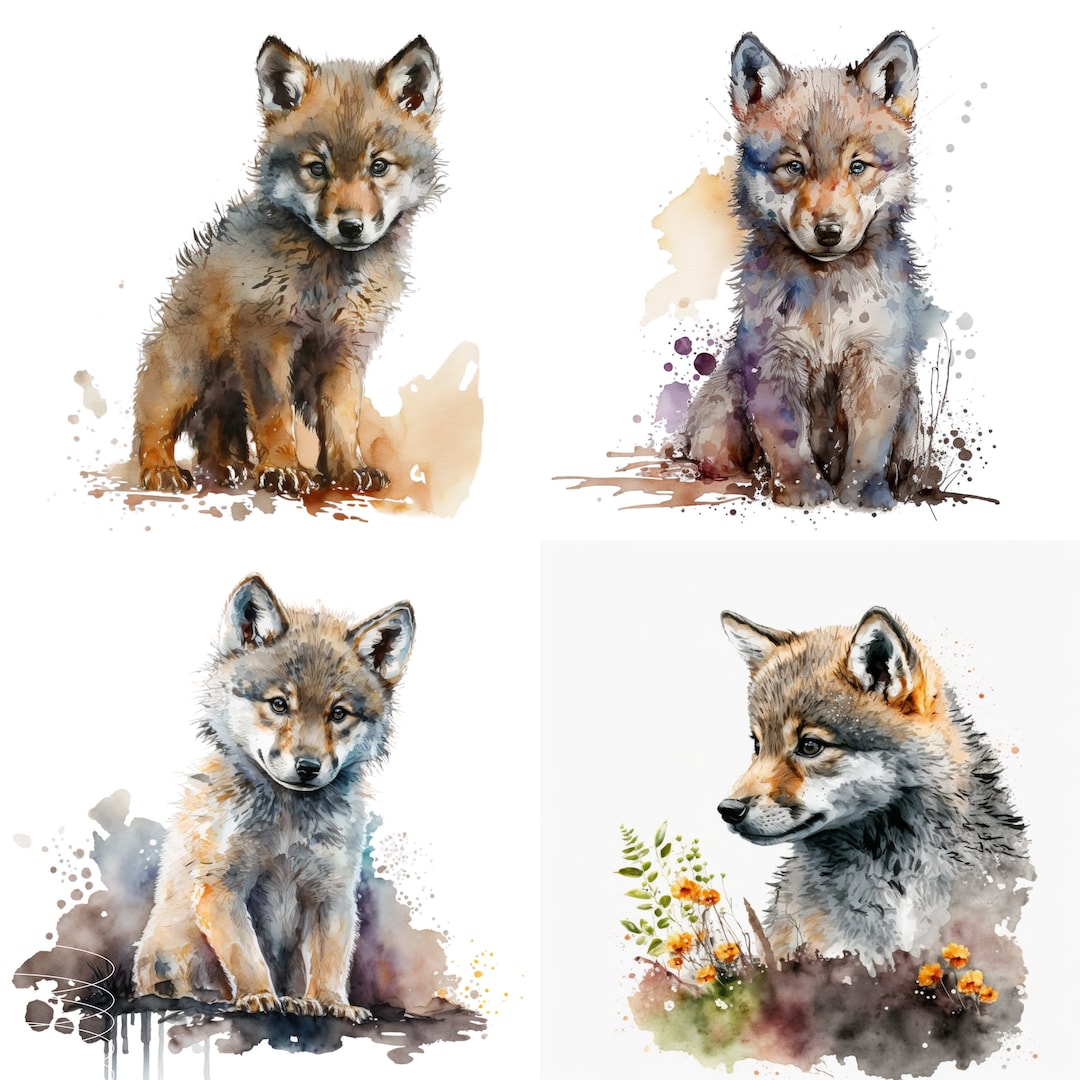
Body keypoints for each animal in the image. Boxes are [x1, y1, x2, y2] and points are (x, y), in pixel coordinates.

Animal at [133, 575, 415, 1021]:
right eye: (279, 704)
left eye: (338, 713)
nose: (308, 767)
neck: (288, 824)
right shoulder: (221, 889)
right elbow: (247, 956)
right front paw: (258, 996)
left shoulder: (332, 894)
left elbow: (331, 961)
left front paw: (332, 1004)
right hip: (170, 951)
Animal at [134, 36, 441, 495]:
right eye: (317, 168)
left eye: (378, 166)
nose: (351, 227)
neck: (329, 281)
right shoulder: (265, 338)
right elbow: (275, 415)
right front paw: (283, 468)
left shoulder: (346, 350)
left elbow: (343, 419)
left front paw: (348, 469)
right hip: (185, 374)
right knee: (153, 426)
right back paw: (162, 471)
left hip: (222, 391)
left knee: (216, 433)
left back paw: (227, 467)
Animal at [682, 32, 940, 508]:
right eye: (794, 167)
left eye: (857, 166)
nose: (828, 232)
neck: (828, 295)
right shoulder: (774, 359)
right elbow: (787, 439)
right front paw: (802, 491)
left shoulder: (877, 361)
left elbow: (869, 444)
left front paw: (863, 496)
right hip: (721, 411)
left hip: (912, 404)